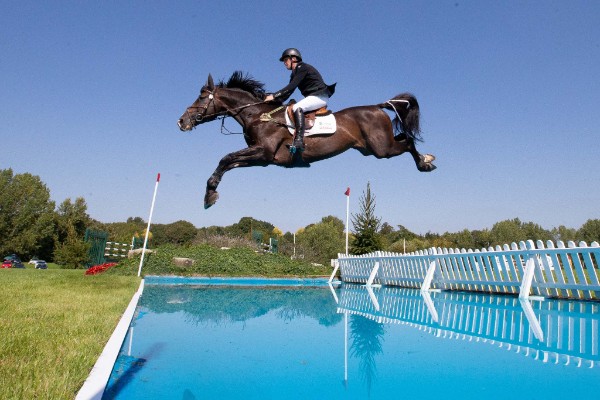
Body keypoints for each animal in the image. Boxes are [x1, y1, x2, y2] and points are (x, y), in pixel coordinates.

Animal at [178, 72, 436, 209]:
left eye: (201, 98)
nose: (181, 121)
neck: (257, 115)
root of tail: (377, 106)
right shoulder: (262, 157)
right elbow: (229, 163)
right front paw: (210, 192)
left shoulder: (264, 151)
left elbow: (225, 158)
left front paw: (210, 193)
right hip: (371, 148)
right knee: (404, 137)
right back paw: (426, 159)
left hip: (382, 148)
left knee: (408, 141)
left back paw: (425, 162)